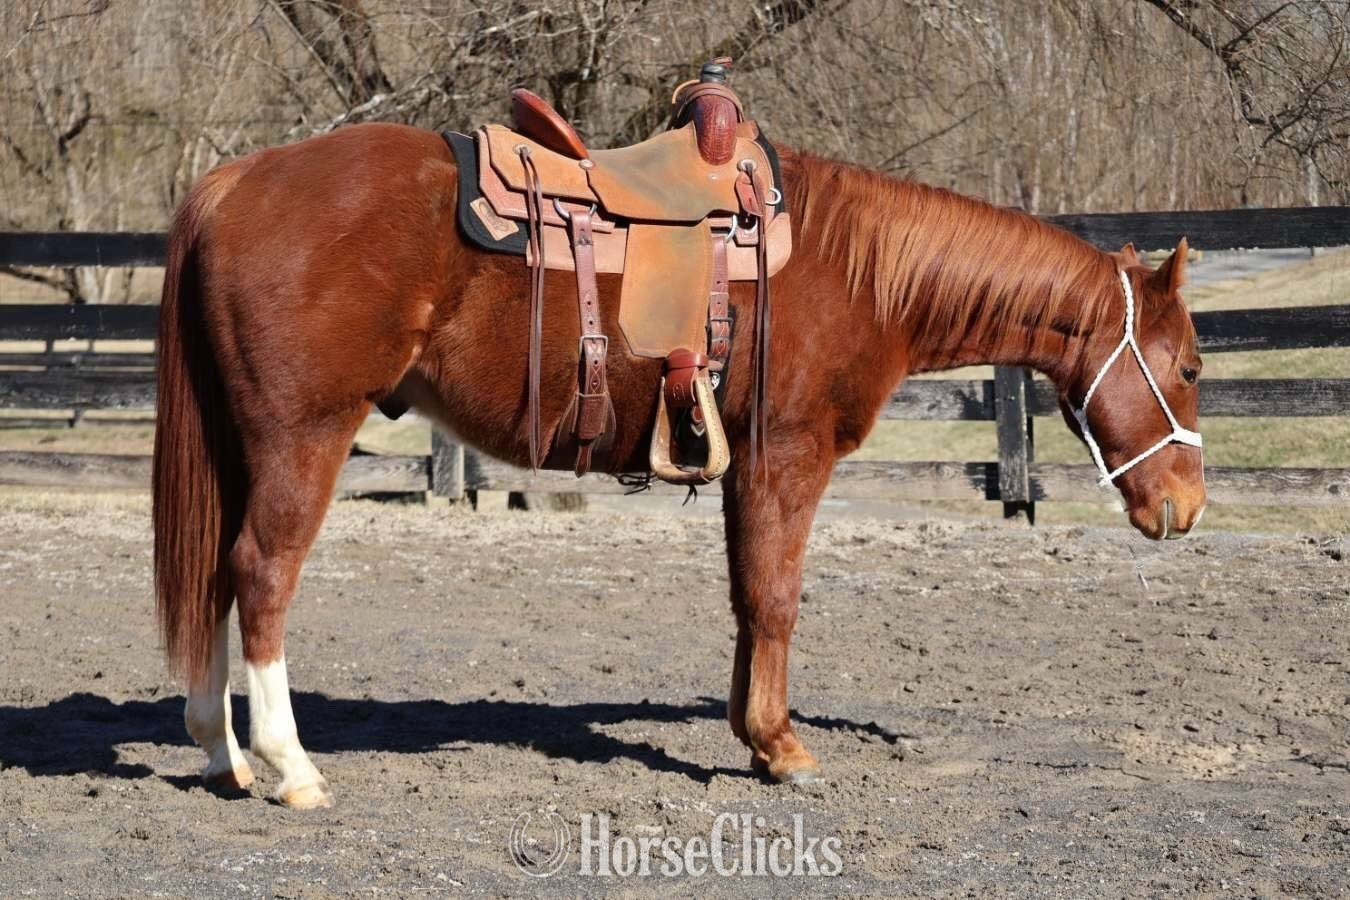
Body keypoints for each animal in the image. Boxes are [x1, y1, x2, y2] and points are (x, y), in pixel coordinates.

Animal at [153, 122, 1205, 808]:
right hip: (305, 435)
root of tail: (236, 181)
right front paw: (784, 748)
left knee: (215, 579)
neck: (858, 269)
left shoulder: (745, 467)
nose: (1187, 507)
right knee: (261, 575)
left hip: (243, 444)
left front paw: (753, 734)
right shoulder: (789, 454)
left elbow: (747, 598)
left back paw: (220, 754)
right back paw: (290, 768)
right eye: (1191, 366)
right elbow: (777, 597)